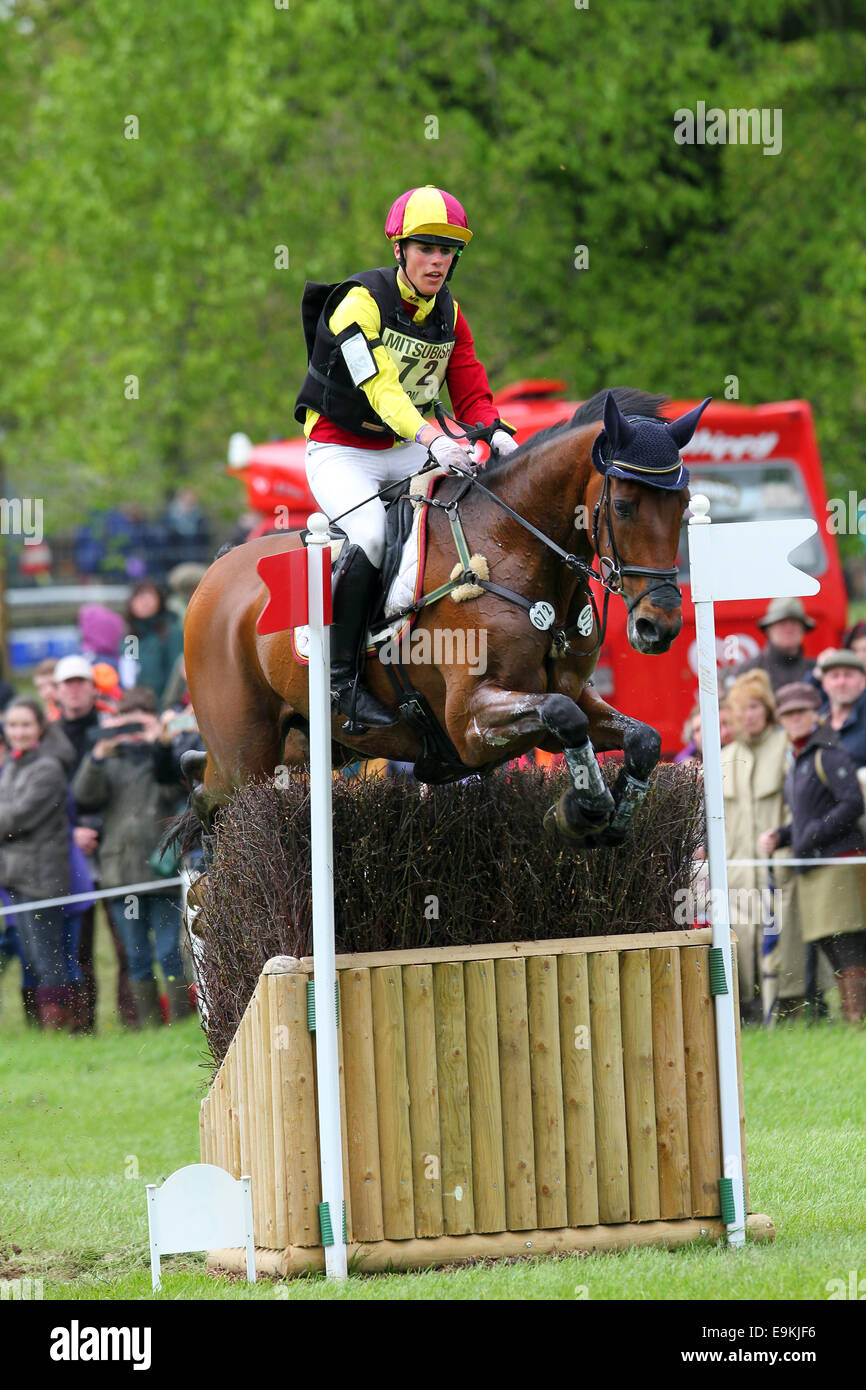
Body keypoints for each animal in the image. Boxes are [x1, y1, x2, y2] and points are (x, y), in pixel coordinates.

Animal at [183, 389, 711, 845]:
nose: (659, 626)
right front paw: (582, 811)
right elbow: (566, 716)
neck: (511, 547)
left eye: (685, 505)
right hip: (245, 756)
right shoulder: (470, 724)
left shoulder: (573, 693)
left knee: (204, 783)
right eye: (622, 507)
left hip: (310, 743)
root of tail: (215, 572)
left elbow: (642, 737)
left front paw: (611, 815)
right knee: (215, 798)